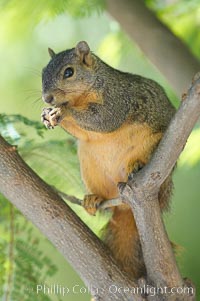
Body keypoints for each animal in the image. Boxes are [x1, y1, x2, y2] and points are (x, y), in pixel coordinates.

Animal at [40, 40, 175, 278]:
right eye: (42, 73)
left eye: (69, 72)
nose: (47, 98)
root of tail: (125, 205)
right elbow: (83, 132)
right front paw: (47, 114)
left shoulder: (116, 99)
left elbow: (103, 120)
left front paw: (61, 111)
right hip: (89, 166)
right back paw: (93, 199)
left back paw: (137, 165)